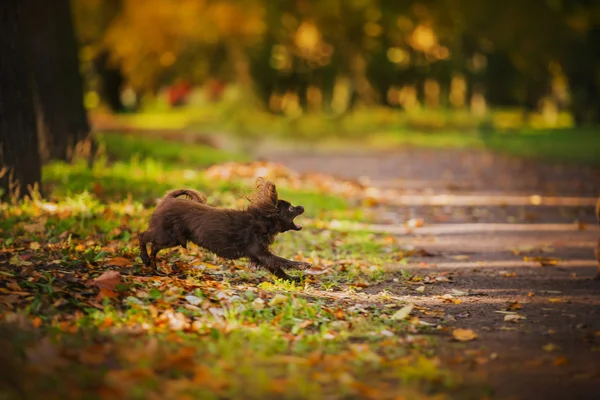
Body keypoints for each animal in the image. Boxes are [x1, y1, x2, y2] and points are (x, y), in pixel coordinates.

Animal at [139, 180, 310, 280]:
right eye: (291, 208)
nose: (302, 206)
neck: (261, 220)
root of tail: (168, 200)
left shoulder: (261, 256)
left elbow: (278, 268)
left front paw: (291, 279)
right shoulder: (261, 253)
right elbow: (283, 261)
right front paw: (303, 265)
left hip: (173, 239)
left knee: (154, 247)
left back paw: (154, 268)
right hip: (166, 236)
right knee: (142, 236)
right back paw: (145, 258)